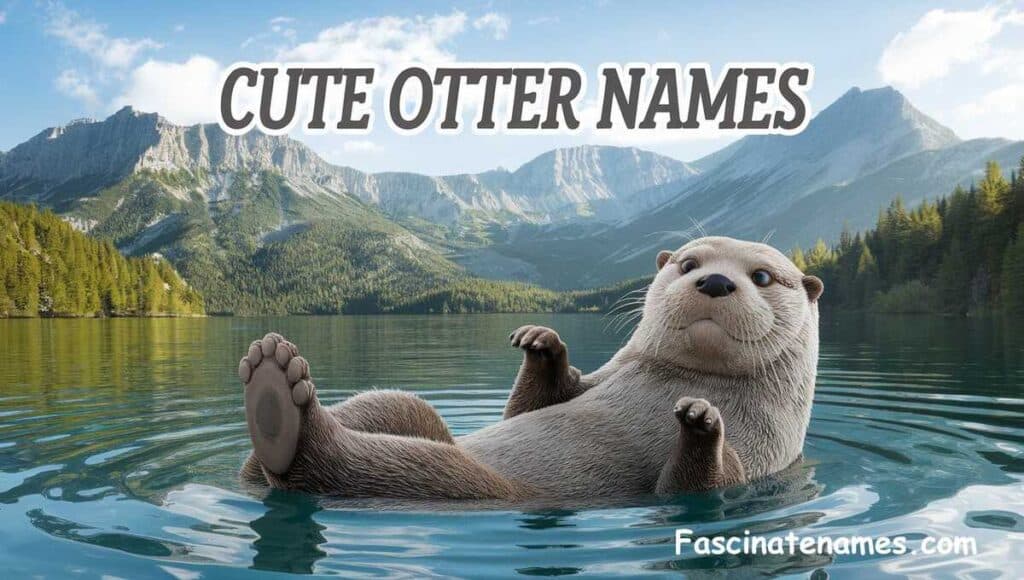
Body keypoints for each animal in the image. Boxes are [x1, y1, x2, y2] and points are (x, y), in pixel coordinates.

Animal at [238, 236, 823, 500]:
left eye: (762, 276)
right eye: (688, 263)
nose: (716, 281)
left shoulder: (764, 448)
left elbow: (699, 484)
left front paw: (701, 420)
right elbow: (530, 406)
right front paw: (542, 343)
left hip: (471, 485)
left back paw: (282, 408)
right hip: (405, 411)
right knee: (399, 407)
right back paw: (271, 388)